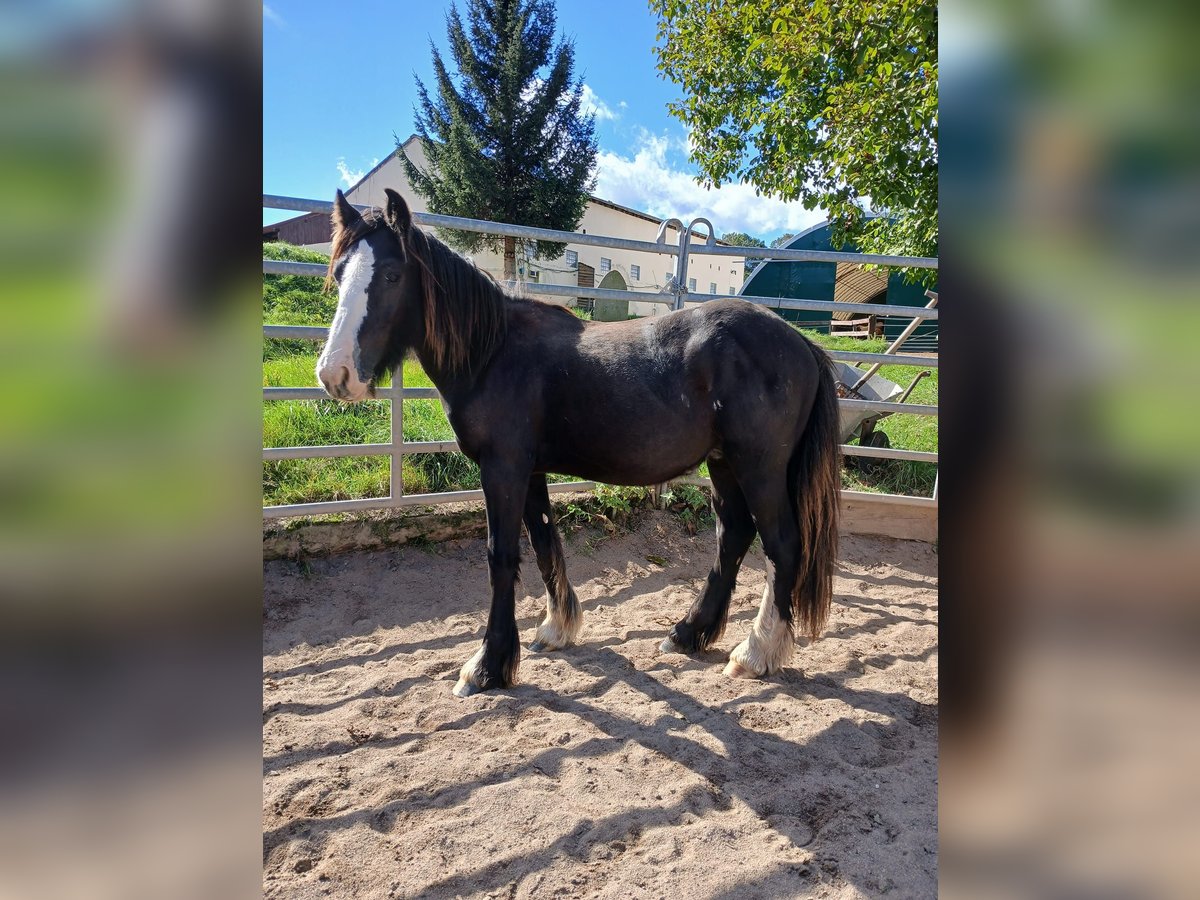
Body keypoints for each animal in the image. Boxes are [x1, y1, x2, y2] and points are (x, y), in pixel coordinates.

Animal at [319, 188, 844, 696]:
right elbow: (544, 541)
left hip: (759, 468)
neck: (494, 353)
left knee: (782, 546)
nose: (334, 374)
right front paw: (555, 630)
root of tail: (802, 343)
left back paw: (755, 654)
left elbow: (500, 556)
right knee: (733, 536)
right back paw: (688, 634)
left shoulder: (502, 468)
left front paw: (487, 666)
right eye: (340, 273)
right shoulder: (529, 470)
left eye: (390, 275)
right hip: (724, 464)